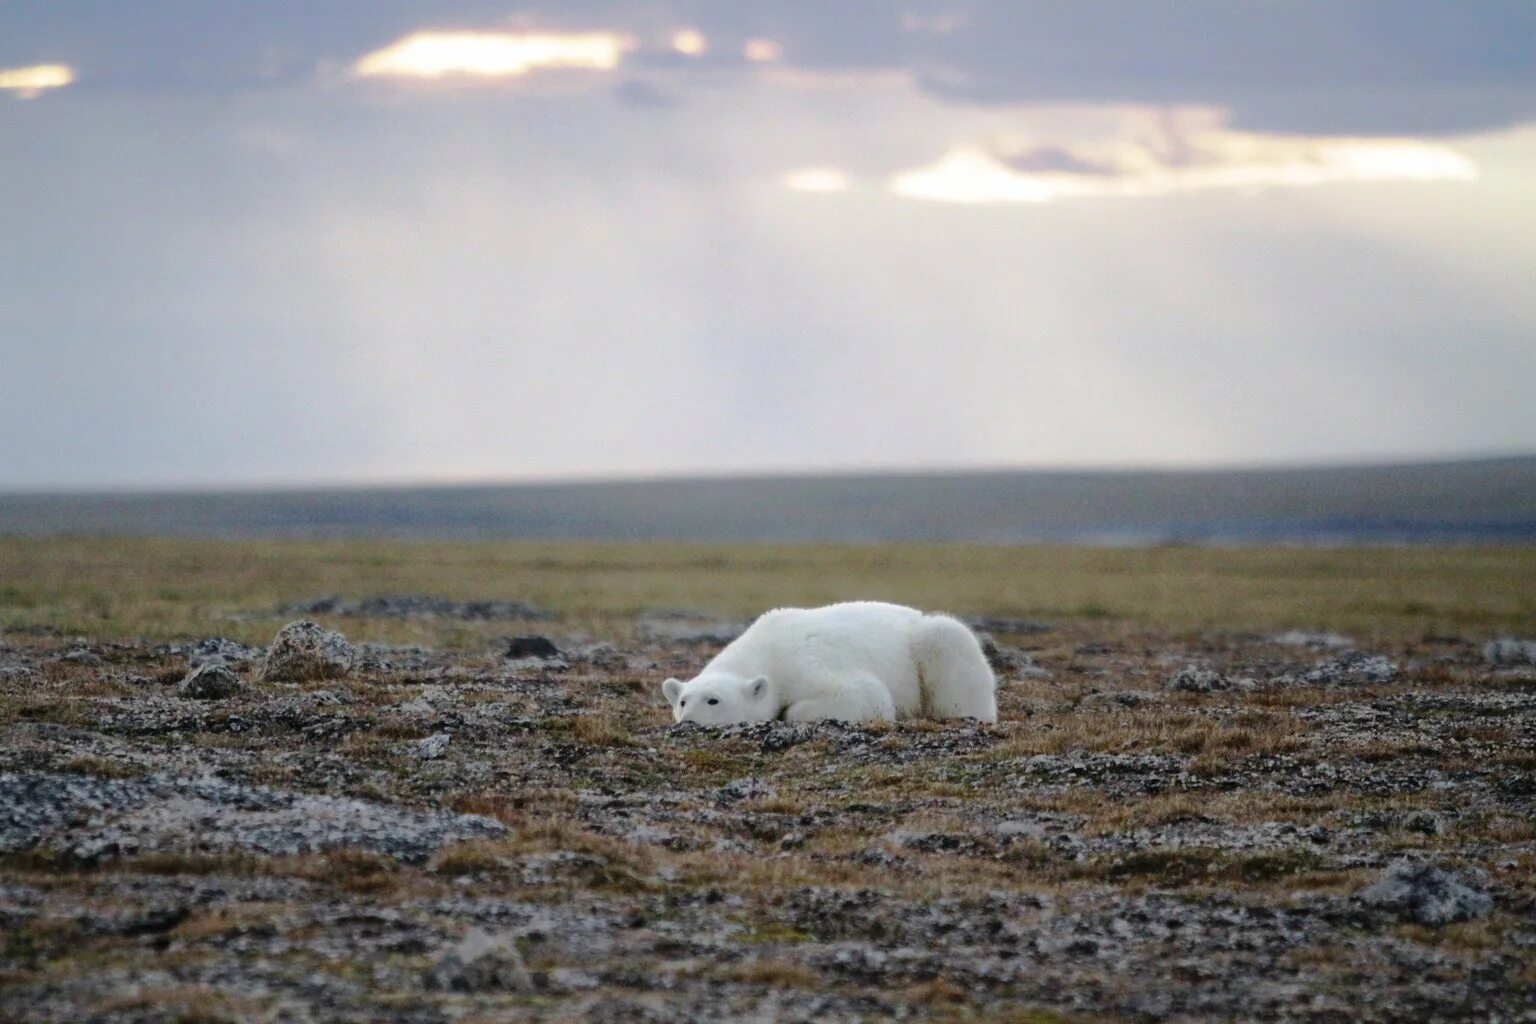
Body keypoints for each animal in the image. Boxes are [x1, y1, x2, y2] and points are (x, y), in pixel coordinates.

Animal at [660, 601, 995, 727]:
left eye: (713, 700)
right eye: (683, 701)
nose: (687, 721)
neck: (767, 648)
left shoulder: (804, 664)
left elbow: (866, 694)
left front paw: (788, 713)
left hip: (927, 645)